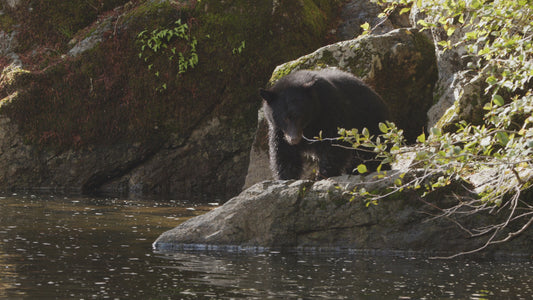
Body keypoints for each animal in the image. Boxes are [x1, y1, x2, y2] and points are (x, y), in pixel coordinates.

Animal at [260, 68, 388, 180]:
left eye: (299, 116)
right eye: (284, 118)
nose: (293, 140)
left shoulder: (329, 110)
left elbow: (333, 143)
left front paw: (323, 174)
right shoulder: (278, 130)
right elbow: (283, 152)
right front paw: (286, 177)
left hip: (371, 124)